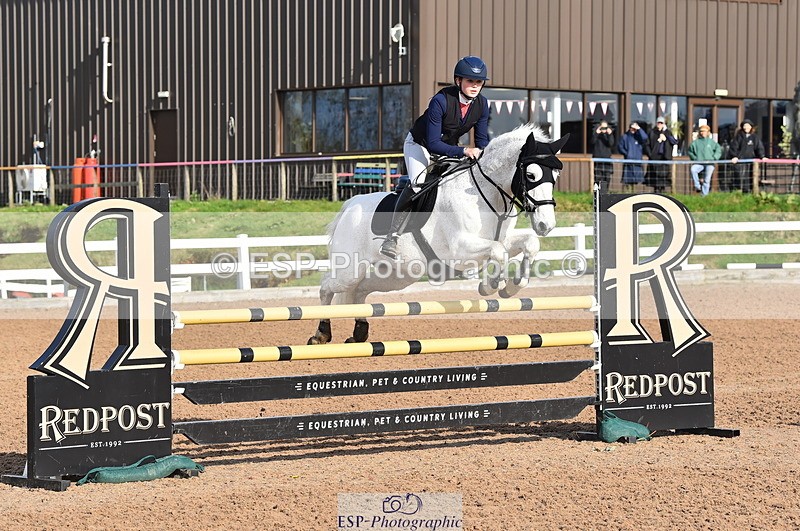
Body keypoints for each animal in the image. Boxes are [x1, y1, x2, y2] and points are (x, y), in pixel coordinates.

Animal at [308, 124, 569, 344]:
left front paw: (512, 287)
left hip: (397, 275)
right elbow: (498, 252)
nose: (546, 225)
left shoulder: (501, 239)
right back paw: (321, 334)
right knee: (327, 286)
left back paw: (359, 333)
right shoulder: (460, 249)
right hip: (350, 269)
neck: (485, 194)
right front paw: (491, 285)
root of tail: (349, 206)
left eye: (556, 177)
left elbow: (529, 244)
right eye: (531, 176)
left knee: (360, 290)